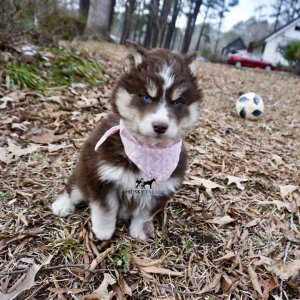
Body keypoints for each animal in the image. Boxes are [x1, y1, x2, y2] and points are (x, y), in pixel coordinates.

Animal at [52, 41, 202, 240]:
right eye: (146, 97)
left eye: (178, 102)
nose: (160, 126)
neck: (147, 149)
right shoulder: (102, 177)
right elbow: (106, 210)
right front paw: (103, 233)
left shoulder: (160, 190)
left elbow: (144, 215)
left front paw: (138, 232)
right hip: (83, 174)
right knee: (73, 188)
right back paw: (62, 205)